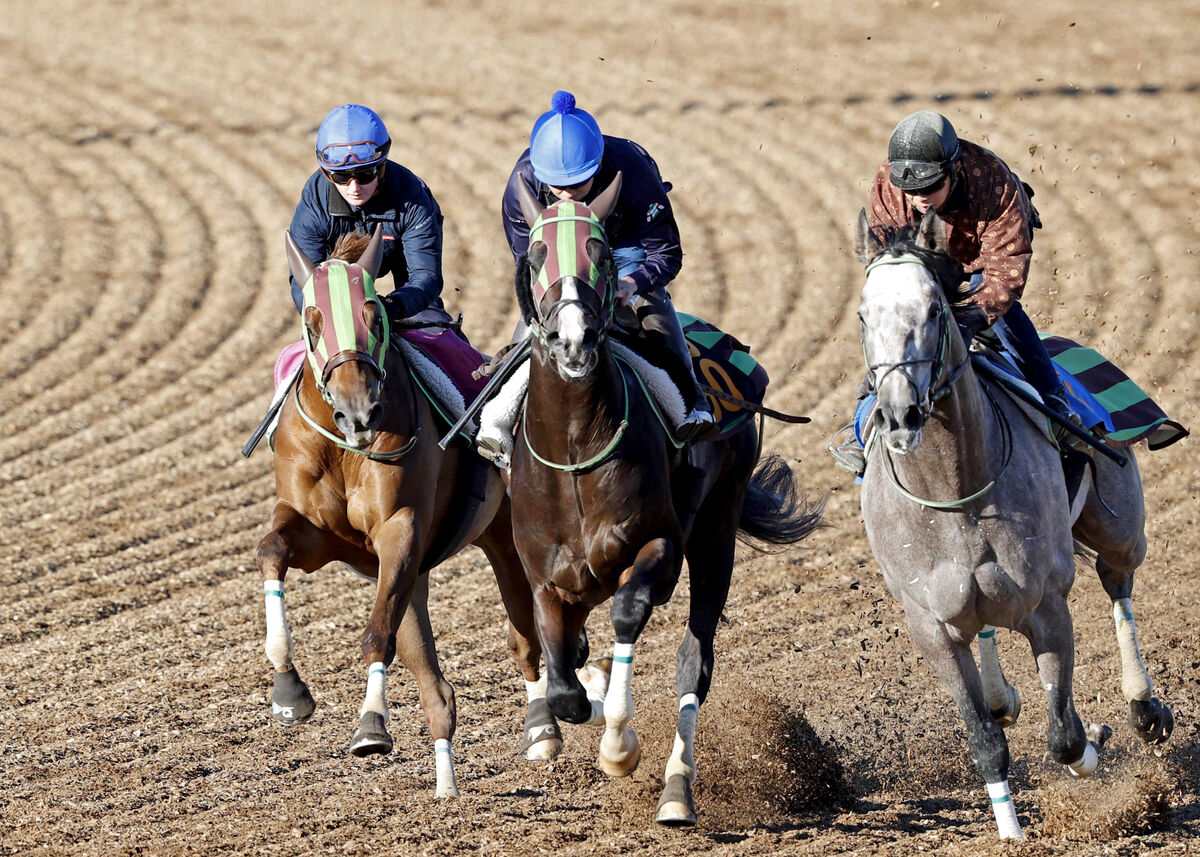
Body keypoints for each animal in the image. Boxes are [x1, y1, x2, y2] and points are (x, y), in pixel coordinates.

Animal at [260, 225, 547, 792]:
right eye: (313, 322)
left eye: (375, 316)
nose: (359, 413)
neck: (346, 449)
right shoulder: (318, 533)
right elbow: (272, 550)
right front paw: (288, 691)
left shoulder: (401, 528)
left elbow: (376, 635)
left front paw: (371, 724)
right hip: (416, 576)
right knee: (437, 686)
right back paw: (446, 785)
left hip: (505, 538)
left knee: (527, 637)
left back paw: (546, 728)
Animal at [506, 171, 825, 820]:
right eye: (537, 253)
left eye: (603, 254)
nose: (573, 340)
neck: (574, 448)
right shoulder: (546, 578)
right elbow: (564, 687)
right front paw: (579, 705)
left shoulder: (661, 545)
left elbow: (627, 616)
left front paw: (619, 747)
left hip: (717, 533)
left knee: (693, 662)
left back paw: (678, 790)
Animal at [854, 210, 1171, 840]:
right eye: (863, 315)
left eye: (934, 310)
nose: (900, 414)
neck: (952, 492)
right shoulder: (930, 625)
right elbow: (984, 741)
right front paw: (1009, 831)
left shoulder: (1046, 605)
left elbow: (1066, 735)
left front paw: (1093, 744)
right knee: (987, 637)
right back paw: (1006, 697)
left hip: (1120, 528)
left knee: (1118, 583)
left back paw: (1144, 708)